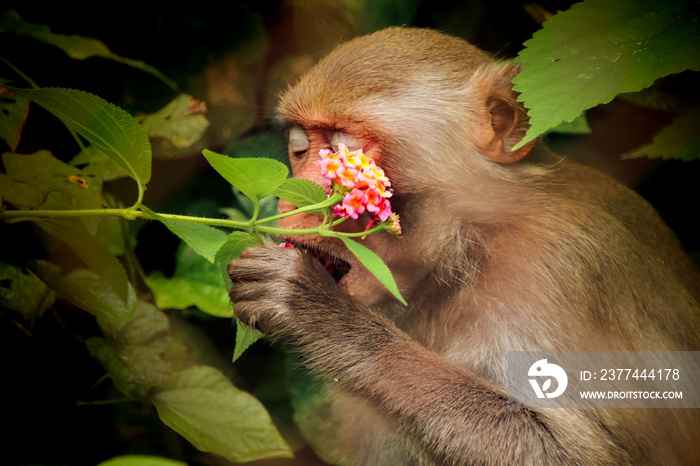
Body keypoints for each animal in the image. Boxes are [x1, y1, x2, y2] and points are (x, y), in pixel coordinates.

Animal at [227, 27, 696, 464]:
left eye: (343, 150)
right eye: (299, 147)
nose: (287, 203)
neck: (469, 248)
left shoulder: (558, 270)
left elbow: (574, 453)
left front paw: (328, 319)